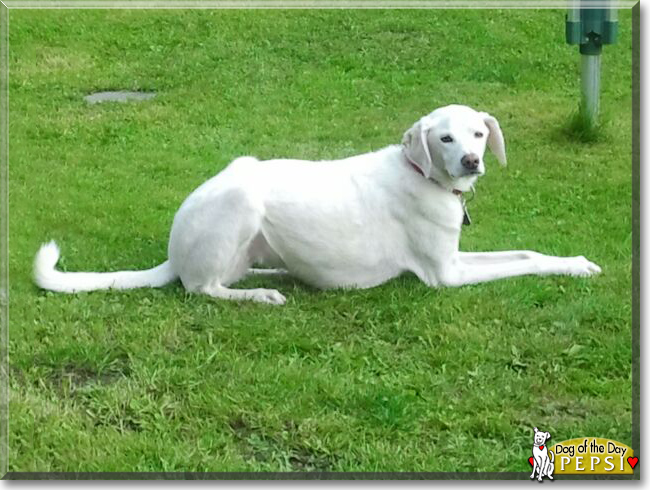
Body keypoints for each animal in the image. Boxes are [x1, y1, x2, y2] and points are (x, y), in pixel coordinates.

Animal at [33, 104, 600, 302]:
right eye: (444, 138)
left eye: (479, 133)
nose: (471, 162)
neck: (420, 173)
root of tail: (173, 252)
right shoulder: (448, 273)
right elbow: (522, 265)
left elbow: (528, 254)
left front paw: (579, 262)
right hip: (241, 197)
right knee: (203, 288)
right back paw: (259, 296)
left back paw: (276, 275)